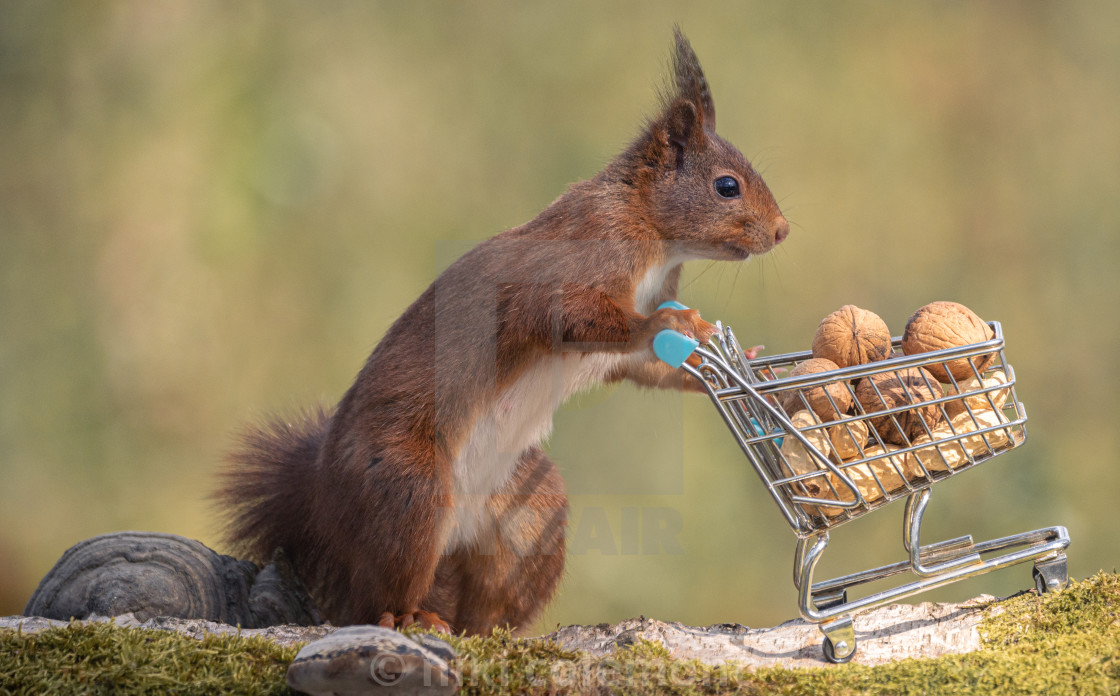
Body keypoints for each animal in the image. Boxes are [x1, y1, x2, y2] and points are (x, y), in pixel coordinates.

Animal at [216, 31, 788, 636]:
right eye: (726, 186)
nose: (782, 231)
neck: (655, 238)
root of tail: (323, 503)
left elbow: (641, 364)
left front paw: (726, 360)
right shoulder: (572, 265)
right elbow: (578, 319)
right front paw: (667, 324)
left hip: (531, 512)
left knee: (485, 600)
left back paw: (488, 628)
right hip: (409, 491)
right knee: (376, 597)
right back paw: (410, 616)